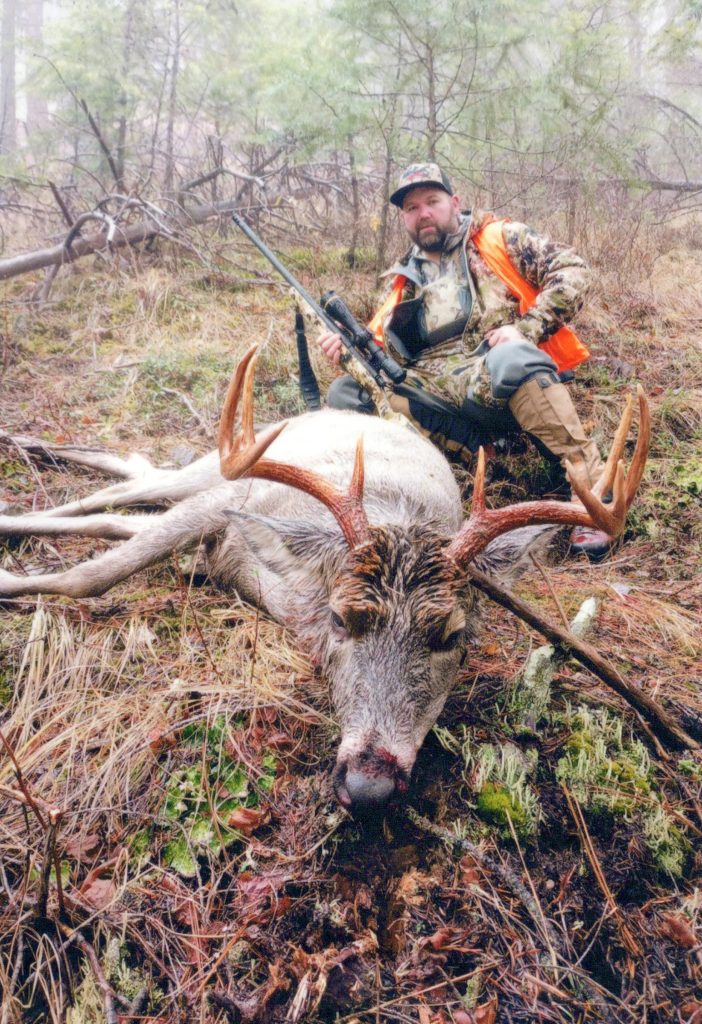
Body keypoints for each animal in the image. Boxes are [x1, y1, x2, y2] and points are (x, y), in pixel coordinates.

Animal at [0, 346, 649, 811]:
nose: (368, 787)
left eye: (453, 637)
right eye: (341, 619)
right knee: (128, 488)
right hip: (225, 462)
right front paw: (14, 582)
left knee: (127, 493)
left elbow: (118, 543)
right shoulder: (231, 500)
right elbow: (92, 574)